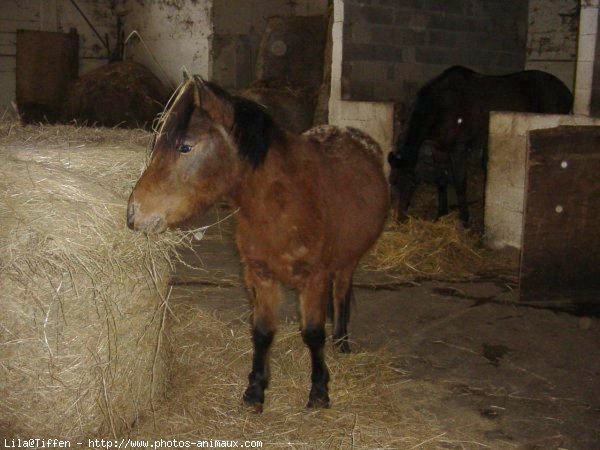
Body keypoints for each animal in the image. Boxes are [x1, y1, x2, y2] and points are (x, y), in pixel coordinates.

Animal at [127, 75, 390, 410]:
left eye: (185, 146)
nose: (133, 214)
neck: (283, 204)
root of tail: (355, 136)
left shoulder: (314, 279)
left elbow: (313, 334)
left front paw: (319, 390)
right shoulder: (260, 275)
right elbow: (263, 332)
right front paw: (255, 390)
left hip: (347, 261)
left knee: (342, 289)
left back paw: (342, 341)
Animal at [390, 66, 572, 225]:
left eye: (411, 183)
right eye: (392, 182)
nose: (398, 219)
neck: (442, 105)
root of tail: (566, 91)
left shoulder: (459, 148)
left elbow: (459, 182)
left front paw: (464, 219)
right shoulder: (439, 149)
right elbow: (441, 180)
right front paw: (441, 214)